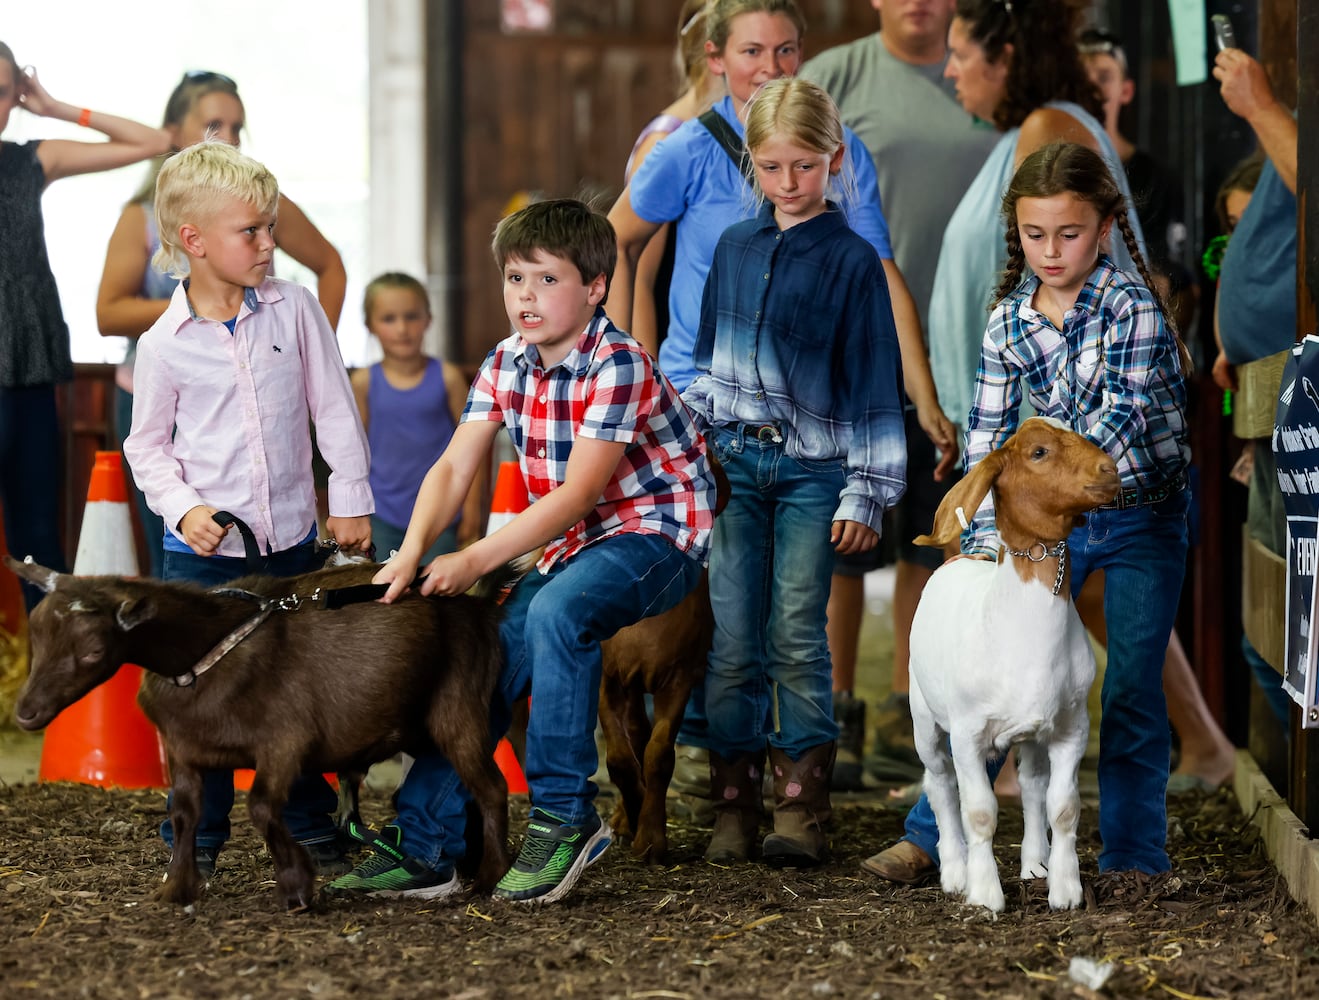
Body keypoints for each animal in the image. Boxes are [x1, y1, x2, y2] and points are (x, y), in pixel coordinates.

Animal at [5, 559, 509, 912]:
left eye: (93, 651)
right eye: (37, 633)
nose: (27, 713)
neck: (208, 652)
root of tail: (474, 603)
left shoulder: (285, 743)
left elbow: (262, 807)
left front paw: (297, 887)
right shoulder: (185, 751)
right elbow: (185, 813)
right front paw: (176, 887)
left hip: (459, 706)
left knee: (491, 786)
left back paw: (493, 876)